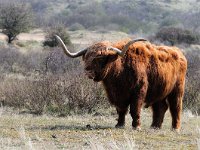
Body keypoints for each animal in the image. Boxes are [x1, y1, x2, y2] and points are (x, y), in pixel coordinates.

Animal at [55, 35, 188, 131]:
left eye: (100, 58)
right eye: (86, 57)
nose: (88, 72)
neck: (120, 70)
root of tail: (179, 53)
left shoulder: (138, 92)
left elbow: (134, 109)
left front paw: (136, 126)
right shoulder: (116, 94)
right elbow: (121, 109)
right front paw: (119, 124)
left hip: (177, 90)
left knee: (175, 107)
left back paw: (175, 128)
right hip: (158, 91)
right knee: (160, 107)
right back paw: (155, 126)